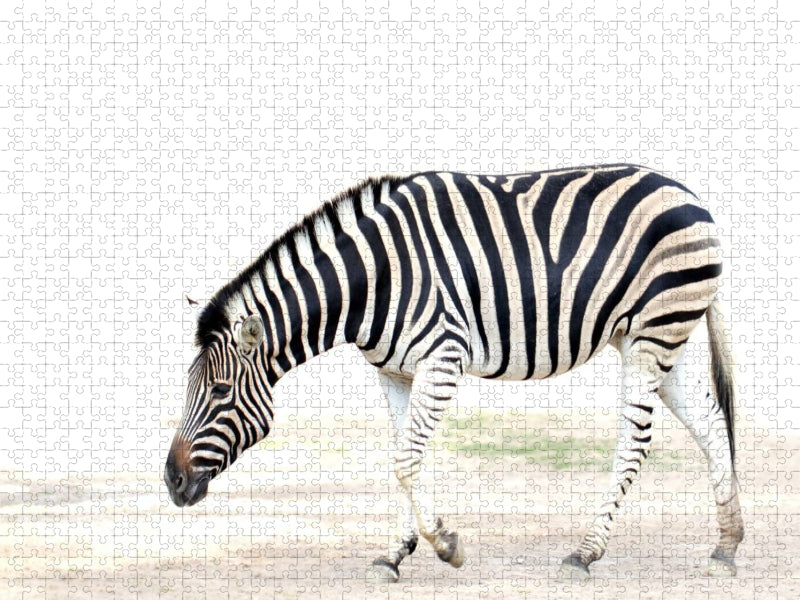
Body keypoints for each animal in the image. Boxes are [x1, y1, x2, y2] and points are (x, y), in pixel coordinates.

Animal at [164, 164, 744, 581]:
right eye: (189, 387)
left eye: (219, 391)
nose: (171, 481)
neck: (372, 279)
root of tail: (691, 195)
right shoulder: (394, 372)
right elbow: (401, 457)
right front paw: (394, 553)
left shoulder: (444, 356)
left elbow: (405, 459)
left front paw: (446, 545)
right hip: (665, 337)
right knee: (713, 424)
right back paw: (726, 544)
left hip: (652, 332)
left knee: (635, 441)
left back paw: (584, 553)